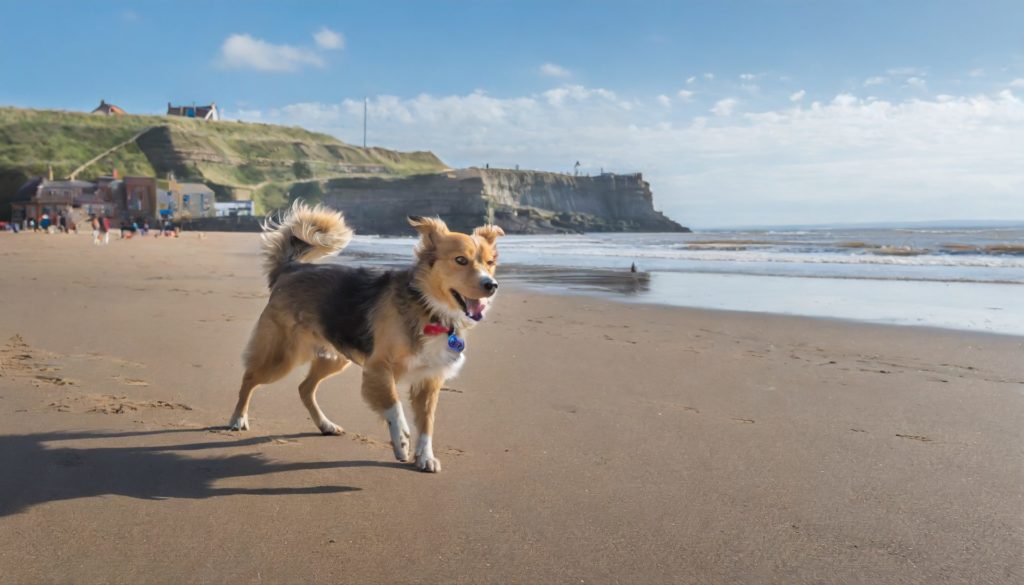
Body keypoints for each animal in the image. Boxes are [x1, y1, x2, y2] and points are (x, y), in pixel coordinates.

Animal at [226, 201, 501, 471]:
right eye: (460, 260)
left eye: (489, 263)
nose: (491, 285)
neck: (429, 308)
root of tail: (291, 269)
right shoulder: (378, 367)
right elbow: (393, 405)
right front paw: (401, 441)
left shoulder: (429, 379)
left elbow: (427, 424)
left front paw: (425, 456)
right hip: (282, 356)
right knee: (249, 378)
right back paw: (238, 418)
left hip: (334, 358)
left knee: (304, 388)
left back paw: (325, 425)